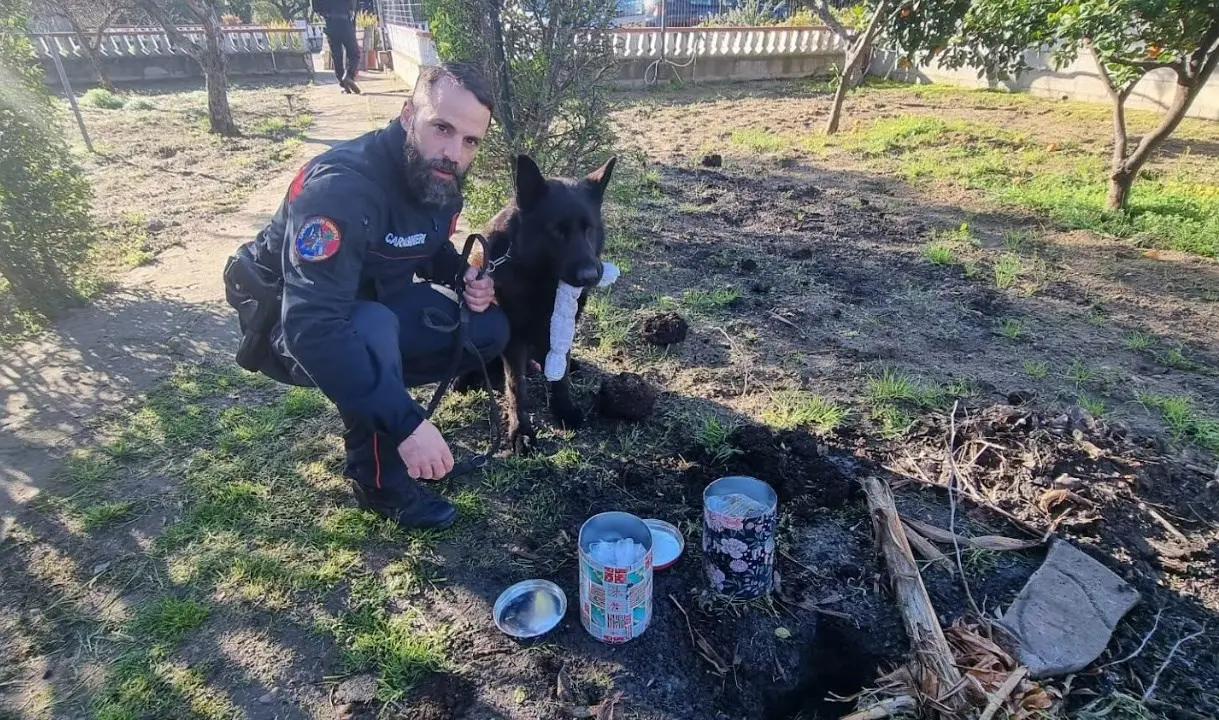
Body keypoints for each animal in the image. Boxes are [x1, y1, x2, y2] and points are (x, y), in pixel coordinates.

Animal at [458, 154, 614, 453]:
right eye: (557, 232)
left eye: (589, 229)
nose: (591, 276)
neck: (540, 279)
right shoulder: (515, 339)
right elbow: (516, 386)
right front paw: (521, 431)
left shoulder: (562, 327)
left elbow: (560, 374)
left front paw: (564, 408)